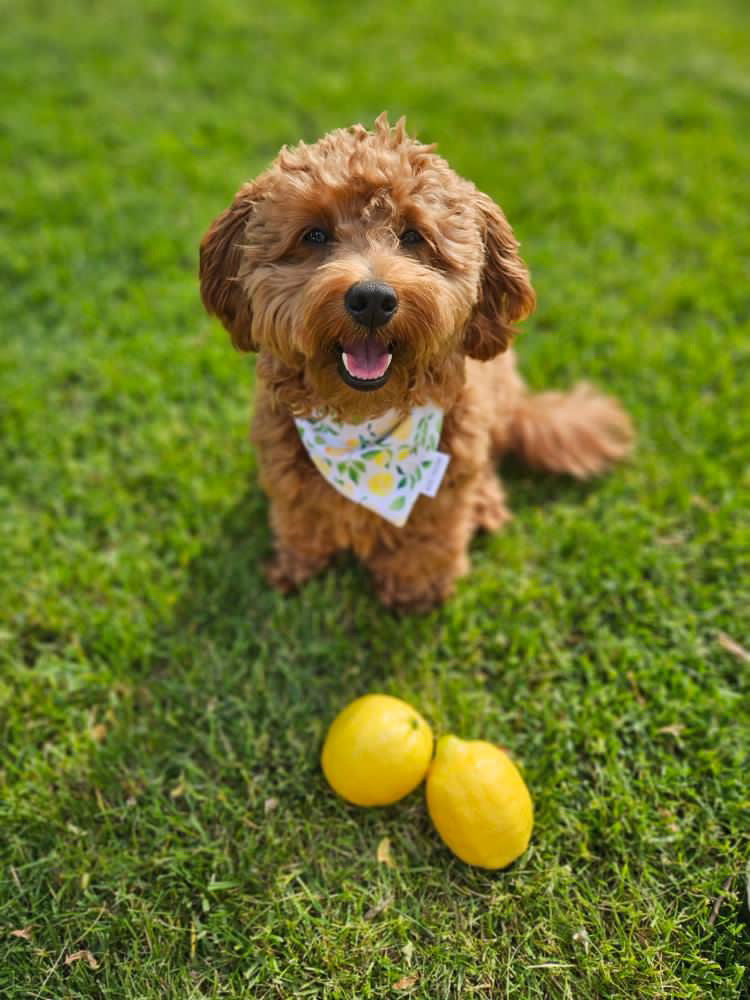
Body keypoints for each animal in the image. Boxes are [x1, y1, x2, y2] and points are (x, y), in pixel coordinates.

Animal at [200, 110, 636, 608]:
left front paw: (416, 593)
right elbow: (300, 520)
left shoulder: (447, 479)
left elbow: (431, 538)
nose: (372, 299)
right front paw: (297, 568)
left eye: (412, 236)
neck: (363, 426)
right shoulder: (286, 474)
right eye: (314, 234)